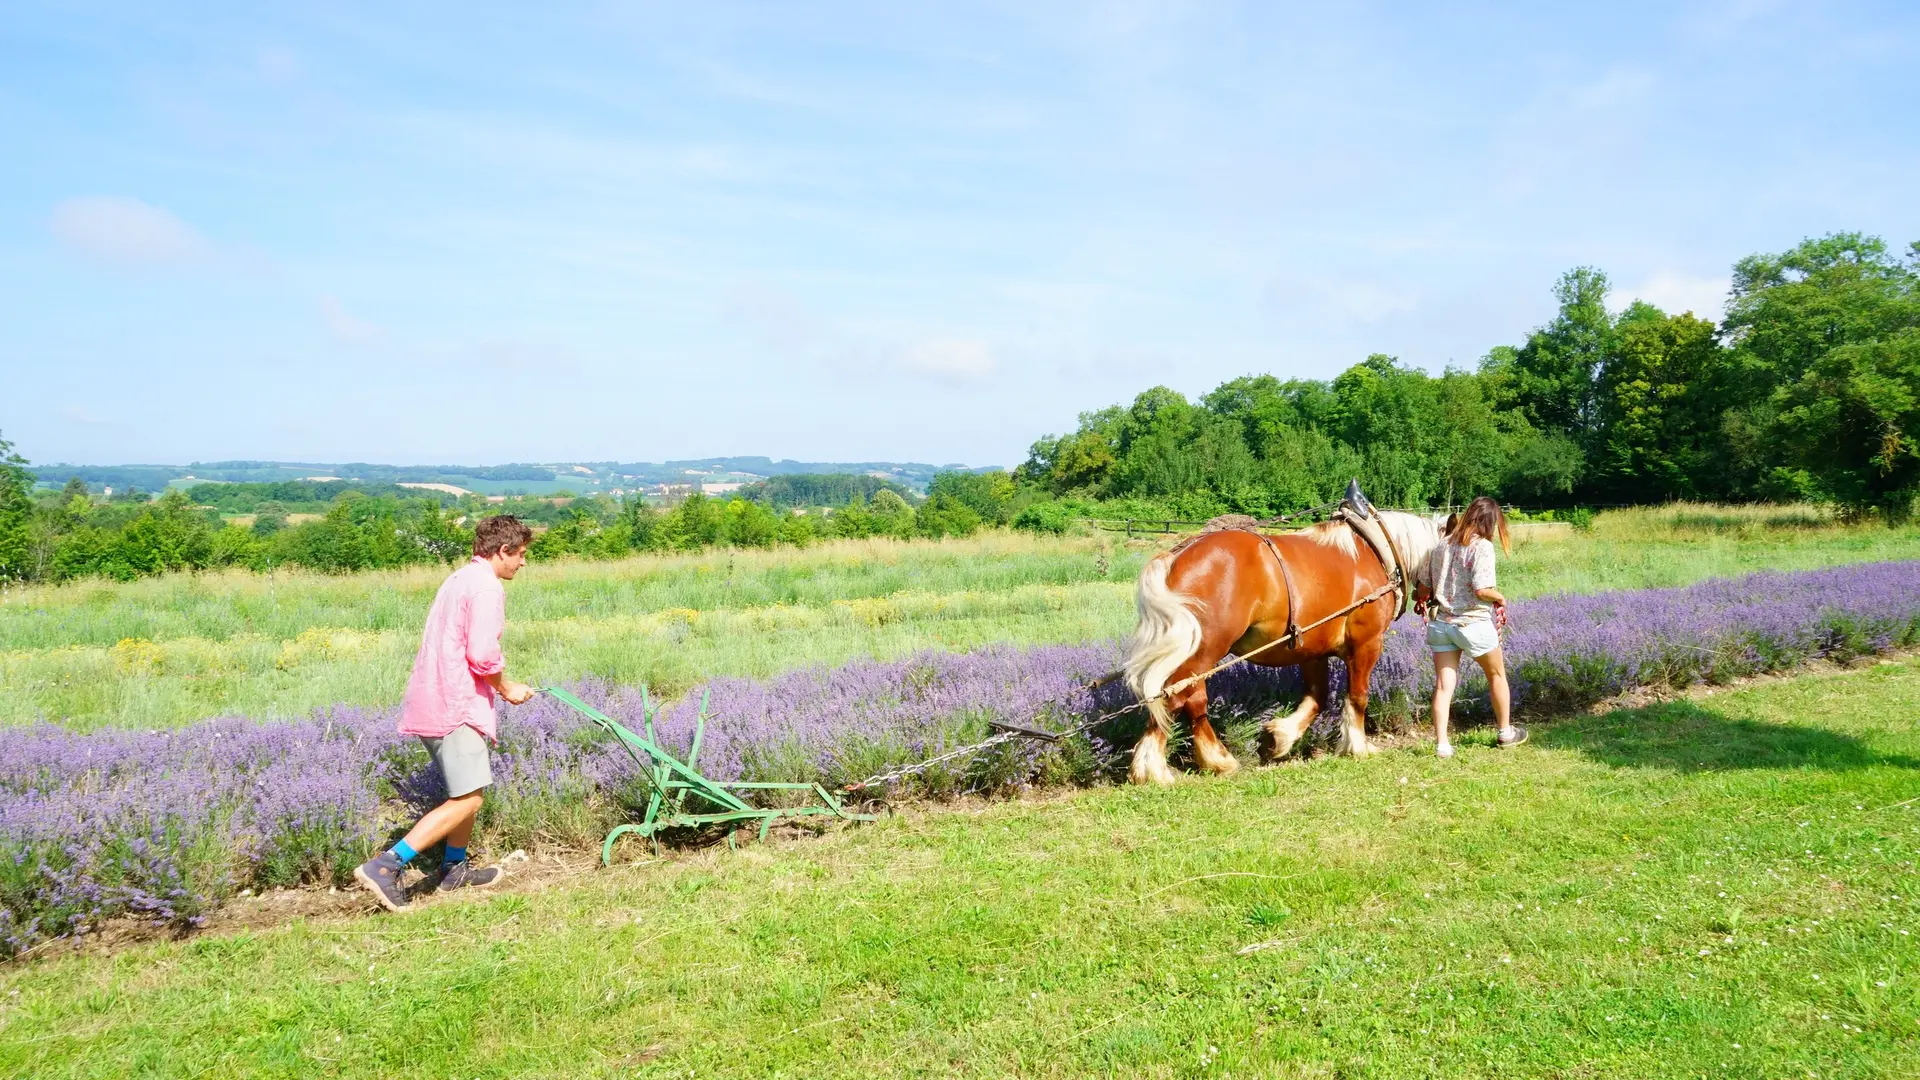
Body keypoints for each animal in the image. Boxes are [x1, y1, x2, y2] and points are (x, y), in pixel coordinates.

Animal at [1121, 503, 1443, 780]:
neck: (1374, 548)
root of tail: (1177, 555)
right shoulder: (1367, 642)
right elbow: (1358, 696)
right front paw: (1358, 746)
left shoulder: (1314, 650)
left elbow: (1317, 698)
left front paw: (1279, 737)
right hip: (1205, 650)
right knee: (1173, 698)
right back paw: (1153, 768)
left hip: (1199, 653)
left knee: (1192, 700)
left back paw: (1215, 760)